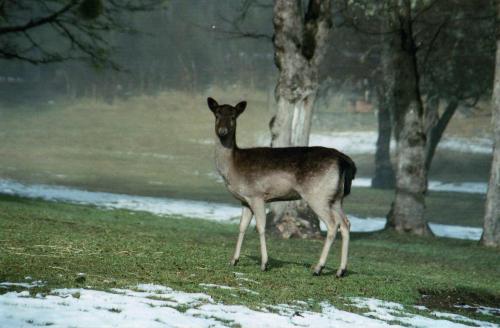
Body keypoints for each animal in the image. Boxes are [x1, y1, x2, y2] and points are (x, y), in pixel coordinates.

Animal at [207, 96, 356, 276]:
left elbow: (261, 227)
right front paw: (233, 260)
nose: (222, 131)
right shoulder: (245, 200)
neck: (233, 167)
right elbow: (242, 227)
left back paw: (318, 268)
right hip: (336, 198)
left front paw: (264, 263)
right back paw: (341, 270)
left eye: (233, 116)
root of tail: (344, 160)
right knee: (346, 223)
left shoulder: (257, 195)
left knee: (333, 225)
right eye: (217, 114)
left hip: (317, 195)